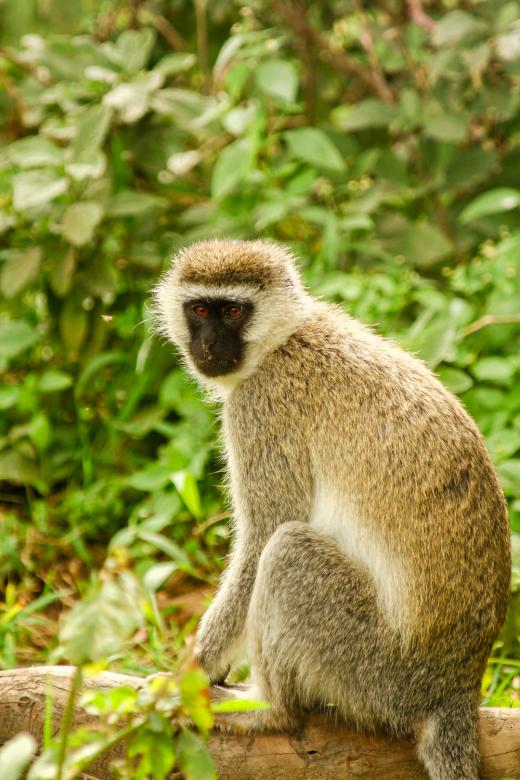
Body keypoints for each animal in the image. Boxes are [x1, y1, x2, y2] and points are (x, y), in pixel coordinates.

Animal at [153, 238, 511, 780]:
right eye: (199, 310)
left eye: (233, 311)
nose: (209, 346)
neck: (284, 340)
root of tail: (455, 687)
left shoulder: (261, 407)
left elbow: (263, 536)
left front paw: (190, 676)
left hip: (375, 668)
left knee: (288, 552)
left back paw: (271, 711)